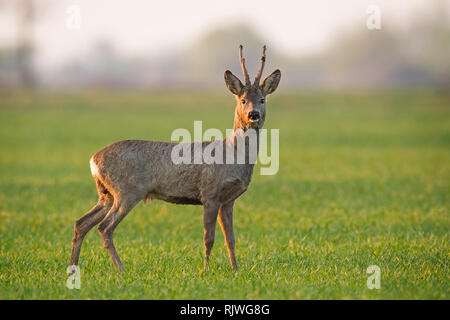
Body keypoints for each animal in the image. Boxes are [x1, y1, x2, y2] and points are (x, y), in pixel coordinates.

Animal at [69, 45, 282, 272]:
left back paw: (73, 266)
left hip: (106, 194)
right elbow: (209, 238)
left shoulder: (228, 200)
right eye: (243, 100)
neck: (233, 156)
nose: (253, 114)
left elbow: (230, 239)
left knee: (81, 223)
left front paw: (236, 270)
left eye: (262, 99)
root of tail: (93, 160)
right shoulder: (210, 192)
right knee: (104, 227)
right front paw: (206, 269)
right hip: (127, 190)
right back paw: (121, 269)